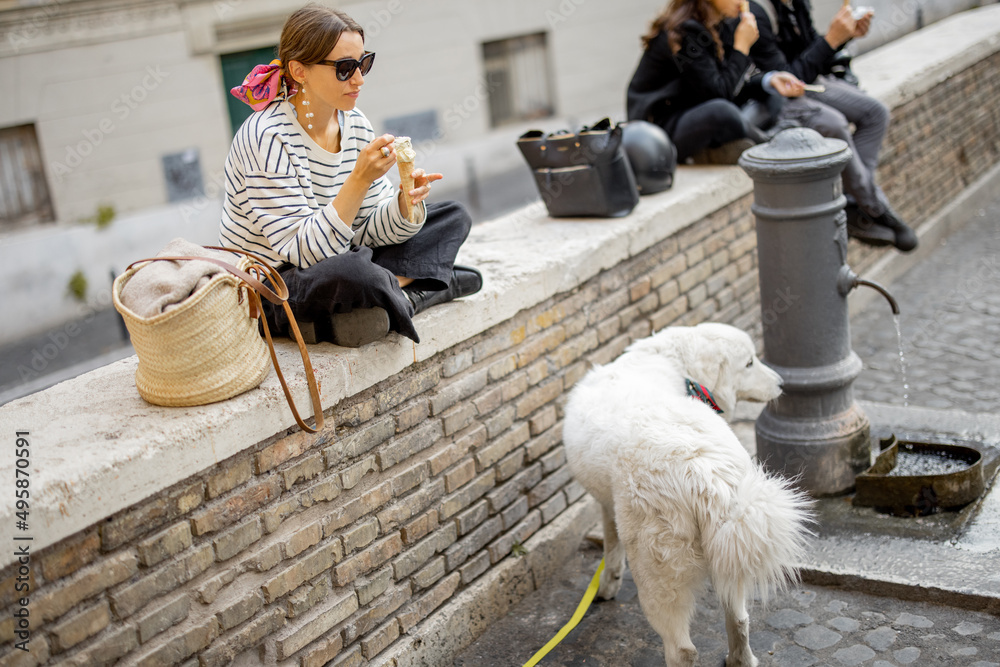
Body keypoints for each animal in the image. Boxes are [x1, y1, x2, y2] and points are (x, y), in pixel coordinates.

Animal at [564, 322, 812, 664]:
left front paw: (606, 586)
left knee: (682, 649)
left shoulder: (606, 506)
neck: (673, 361)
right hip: (731, 550)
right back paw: (741, 660)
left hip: (658, 571)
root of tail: (702, 467)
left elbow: (611, 548)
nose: (782, 383)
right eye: (749, 363)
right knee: (739, 619)